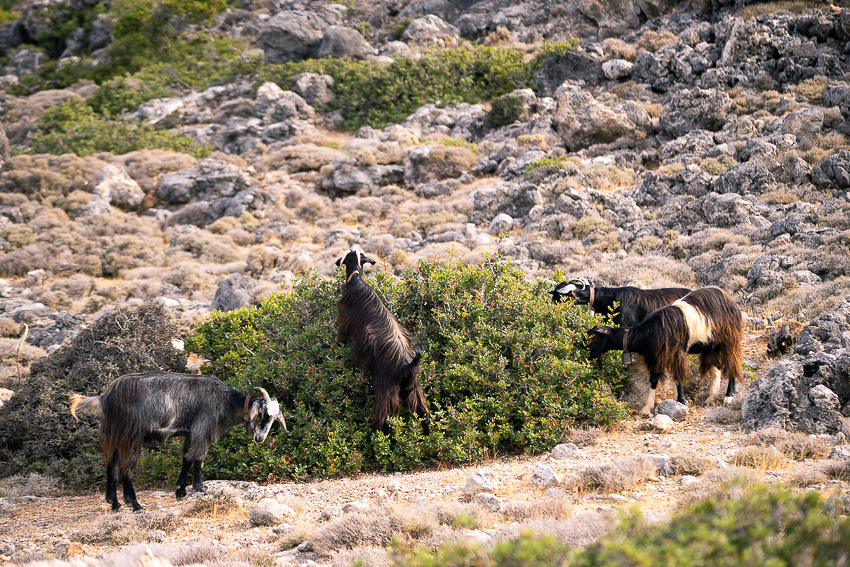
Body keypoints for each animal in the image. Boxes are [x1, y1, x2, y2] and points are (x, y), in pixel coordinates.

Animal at [71, 372, 284, 516]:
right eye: (262, 413)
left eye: (274, 419)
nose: (260, 439)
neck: (224, 401)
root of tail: (104, 398)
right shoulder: (201, 428)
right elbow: (198, 459)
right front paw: (199, 489)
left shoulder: (190, 432)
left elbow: (186, 459)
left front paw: (180, 490)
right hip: (130, 434)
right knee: (126, 470)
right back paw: (135, 505)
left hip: (114, 435)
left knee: (111, 466)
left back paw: (115, 503)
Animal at [332, 247, 428, 434]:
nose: (336, 262)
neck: (355, 279)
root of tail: (407, 367)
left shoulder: (344, 323)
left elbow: (340, 342)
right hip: (415, 392)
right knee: (424, 414)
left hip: (386, 391)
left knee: (385, 422)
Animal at [584, 288, 744, 418]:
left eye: (593, 338)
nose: (587, 355)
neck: (650, 333)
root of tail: (728, 299)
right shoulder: (655, 358)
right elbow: (653, 381)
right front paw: (646, 408)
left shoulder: (676, 354)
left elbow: (678, 378)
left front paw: (681, 402)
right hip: (710, 346)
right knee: (717, 369)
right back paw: (712, 397)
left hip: (730, 340)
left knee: (732, 364)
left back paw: (728, 396)